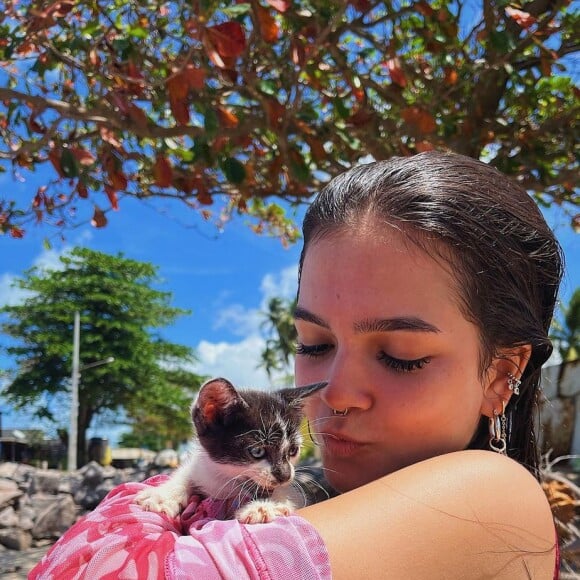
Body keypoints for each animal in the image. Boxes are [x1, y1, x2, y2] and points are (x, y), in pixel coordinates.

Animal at [136, 378, 326, 524]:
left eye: (293, 450)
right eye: (257, 451)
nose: (285, 475)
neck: (228, 480)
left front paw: (264, 506)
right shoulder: (203, 467)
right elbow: (188, 472)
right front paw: (162, 496)